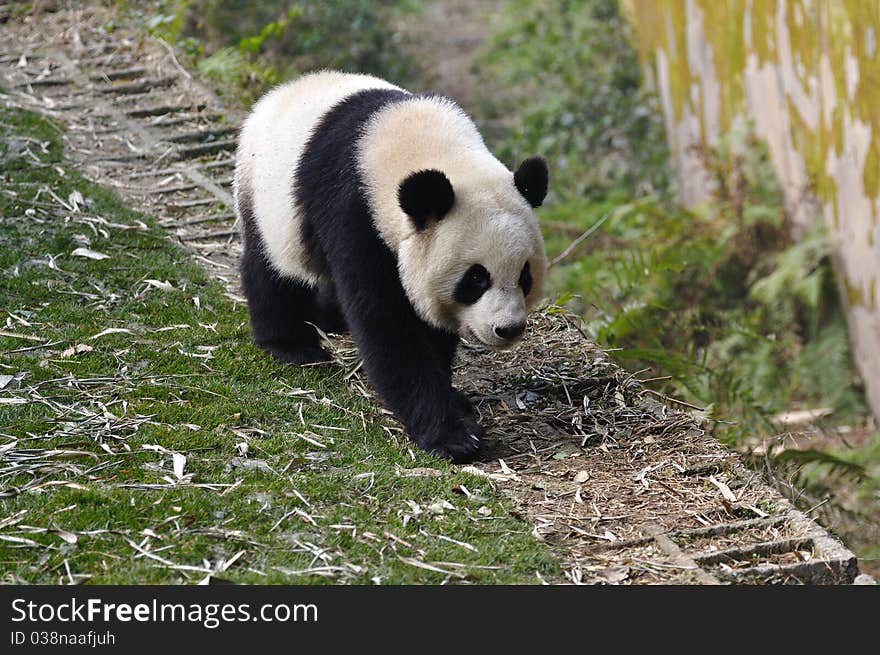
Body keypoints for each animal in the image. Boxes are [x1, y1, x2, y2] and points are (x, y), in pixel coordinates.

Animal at [237, 70, 548, 462]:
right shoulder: (354, 213)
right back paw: (291, 345)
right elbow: (387, 325)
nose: (508, 329)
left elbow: (429, 324)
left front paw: (454, 401)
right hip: (269, 201)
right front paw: (453, 437)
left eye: (525, 275)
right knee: (272, 272)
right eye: (476, 278)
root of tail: (278, 93)